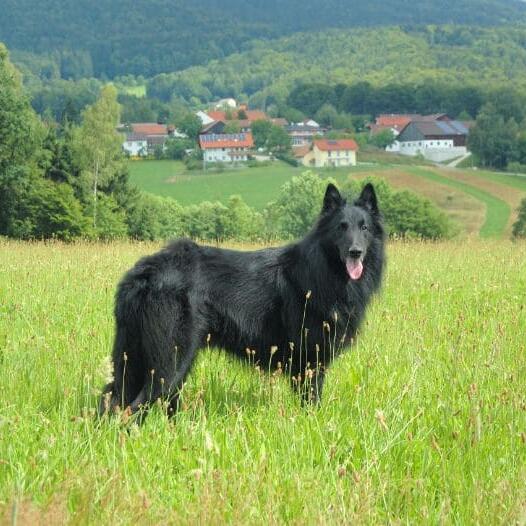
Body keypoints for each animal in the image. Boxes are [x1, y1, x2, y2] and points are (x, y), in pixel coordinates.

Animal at [101, 184, 386, 418]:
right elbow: (311, 403)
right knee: (135, 407)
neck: (321, 270)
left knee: (112, 398)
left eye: (364, 228)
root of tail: (144, 272)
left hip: (140, 359)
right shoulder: (310, 362)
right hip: (170, 361)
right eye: (341, 227)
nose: (355, 252)